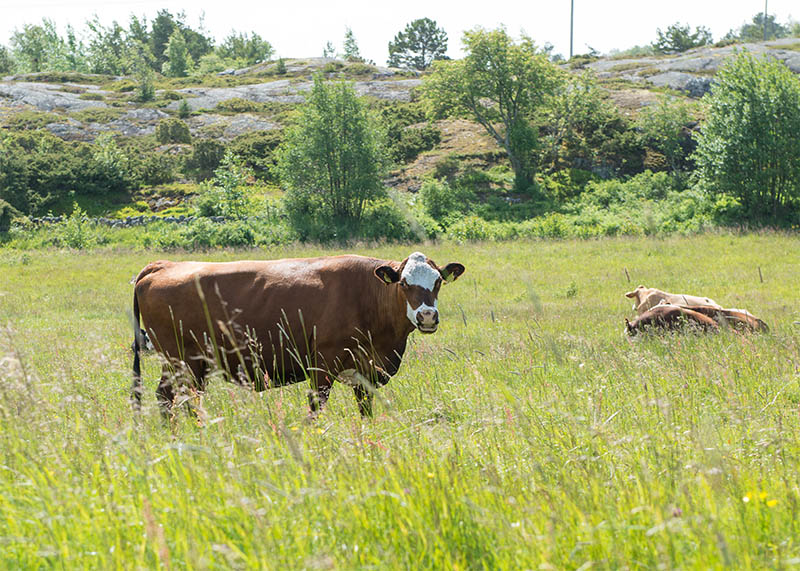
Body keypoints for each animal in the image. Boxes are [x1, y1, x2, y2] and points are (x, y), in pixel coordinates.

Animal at [131, 252, 466, 418]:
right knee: (170, 398)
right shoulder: (323, 365)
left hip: (191, 366)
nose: (427, 316)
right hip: (181, 361)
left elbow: (365, 411)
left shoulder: (366, 372)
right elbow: (315, 408)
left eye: (437, 281)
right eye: (404, 283)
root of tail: (161, 265)